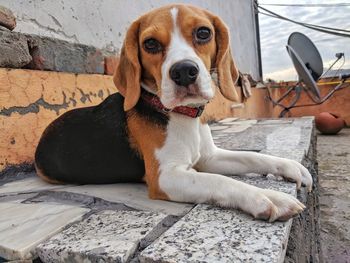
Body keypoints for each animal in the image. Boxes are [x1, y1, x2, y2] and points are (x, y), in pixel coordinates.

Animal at [35, 4, 314, 223]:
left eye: (203, 33)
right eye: (150, 43)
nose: (183, 72)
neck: (183, 115)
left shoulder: (209, 157)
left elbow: (252, 157)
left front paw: (290, 166)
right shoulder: (166, 177)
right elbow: (220, 181)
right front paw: (266, 197)